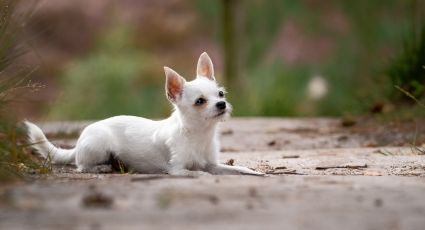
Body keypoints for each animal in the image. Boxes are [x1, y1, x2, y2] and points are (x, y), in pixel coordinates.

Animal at [25, 52, 262, 176]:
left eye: (220, 94)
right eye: (200, 102)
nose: (222, 104)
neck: (199, 134)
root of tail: (80, 140)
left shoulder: (213, 164)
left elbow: (235, 168)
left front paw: (254, 172)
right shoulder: (177, 169)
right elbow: (198, 172)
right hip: (99, 145)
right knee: (81, 167)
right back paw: (102, 167)